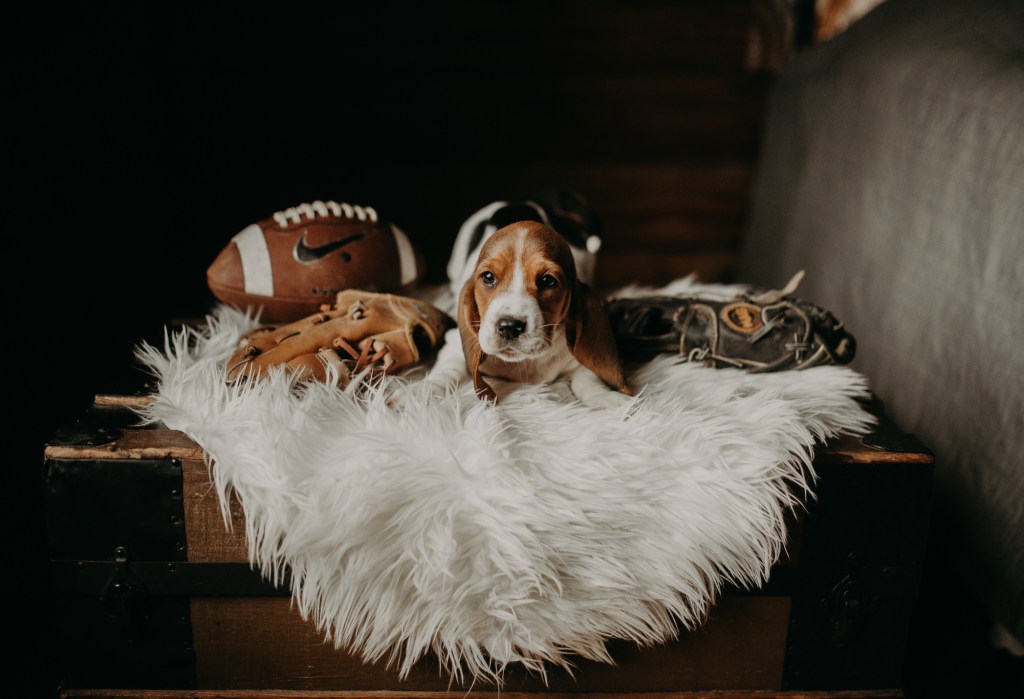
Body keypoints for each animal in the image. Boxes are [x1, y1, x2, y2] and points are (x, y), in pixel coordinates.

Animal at [417, 220, 626, 409]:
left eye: (548, 280)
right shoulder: (455, 344)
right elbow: (446, 370)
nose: (509, 327)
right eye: (488, 277)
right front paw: (422, 391)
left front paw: (608, 398)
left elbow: (587, 379)